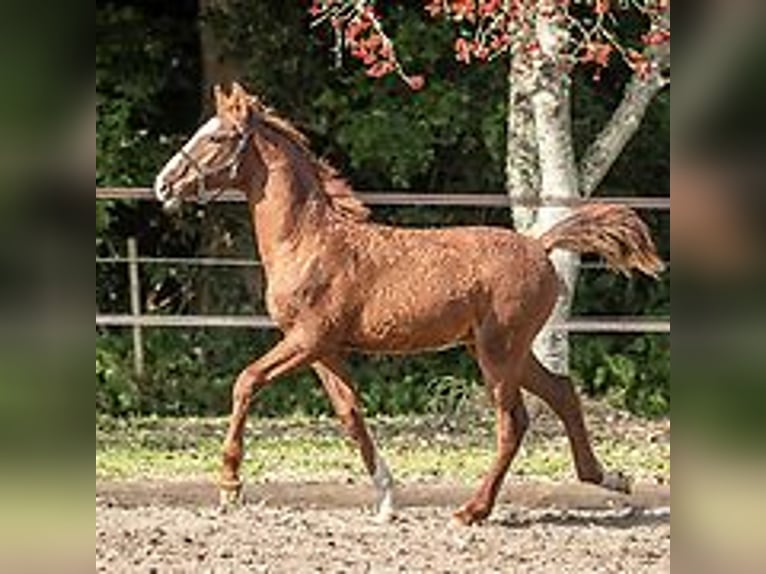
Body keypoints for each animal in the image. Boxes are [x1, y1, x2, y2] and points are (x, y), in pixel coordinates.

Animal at [153, 83, 664, 528]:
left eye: (217, 137)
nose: (162, 184)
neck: (307, 239)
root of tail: (540, 245)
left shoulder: (308, 338)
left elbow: (247, 381)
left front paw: (230, 486)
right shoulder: (324, 349)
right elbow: (351, 414)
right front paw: (386, 500)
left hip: (499, 351)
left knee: (513, 423)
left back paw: (472, 510)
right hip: (501, 349)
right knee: (561, 391)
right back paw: (610, 478)